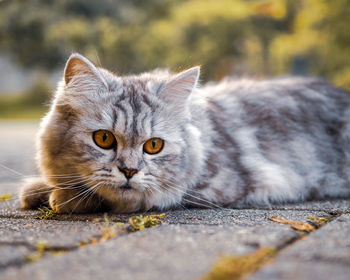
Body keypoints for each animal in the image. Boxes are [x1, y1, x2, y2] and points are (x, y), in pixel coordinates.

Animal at [19, 53, 350, 213]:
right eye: (104, 139)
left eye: (154, 145)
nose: (129, 171)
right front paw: (39, 189)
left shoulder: (214, 187)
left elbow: (121, 197)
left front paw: (61, 198)